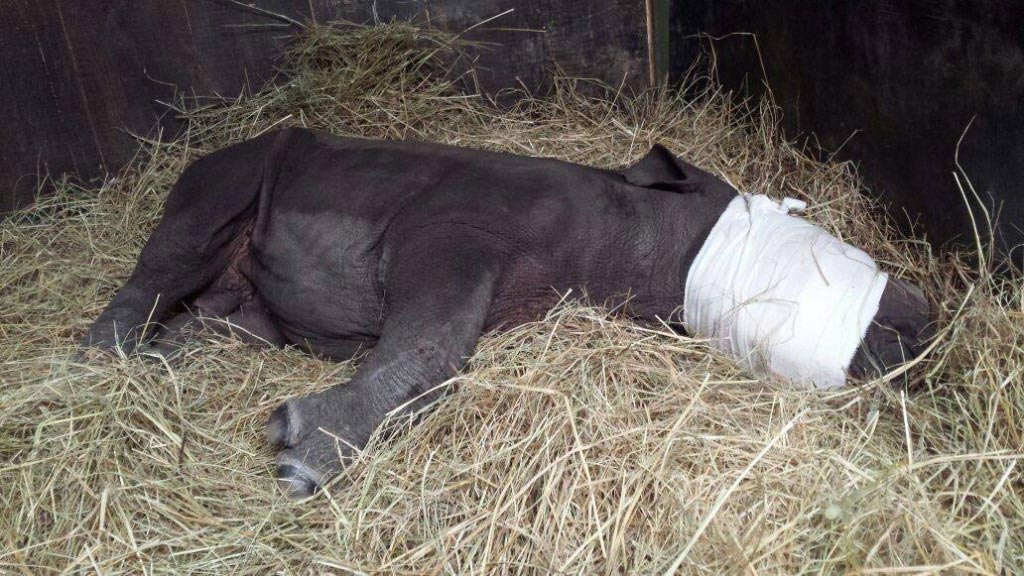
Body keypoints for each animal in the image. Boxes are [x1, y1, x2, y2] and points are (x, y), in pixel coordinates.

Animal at [86, 126, 937, 498]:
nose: (923, 316)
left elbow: (433, 351)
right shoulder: (456, 232)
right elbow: (430, 348)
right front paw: (301, 456)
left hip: (248, 300)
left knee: (228, 317)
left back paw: (168, 359)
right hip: (237, 166)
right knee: (185, 237)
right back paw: (105, 362)